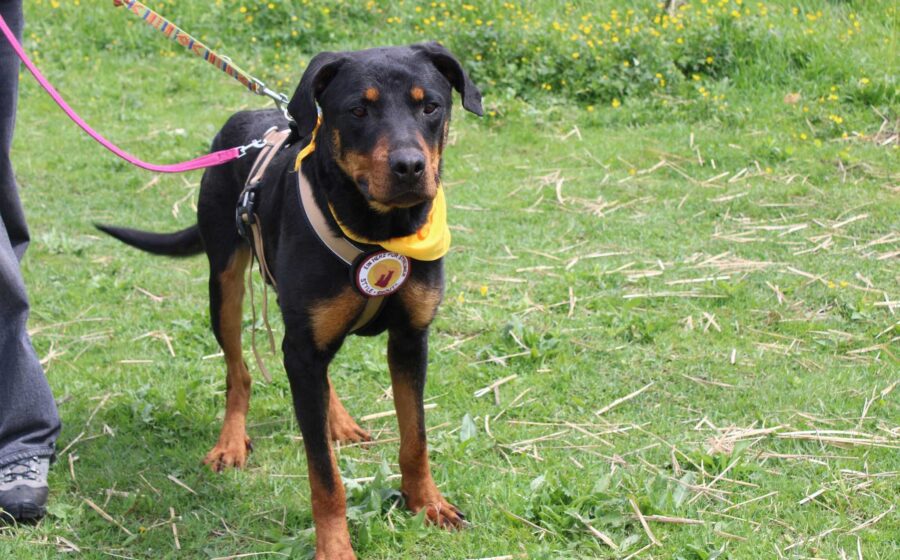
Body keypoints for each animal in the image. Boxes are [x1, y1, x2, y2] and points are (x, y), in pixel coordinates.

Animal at [97, 42, 482, 559]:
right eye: (358, 110)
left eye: (431, 106)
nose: (408, 167)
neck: (376, 232)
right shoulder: (303, 346)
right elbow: (324, 475)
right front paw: (335, 546)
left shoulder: (410, 338)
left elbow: (415, 438)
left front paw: (428, 503)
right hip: (225, 286)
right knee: (238, 372)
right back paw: (231, 442)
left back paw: (337, 421)